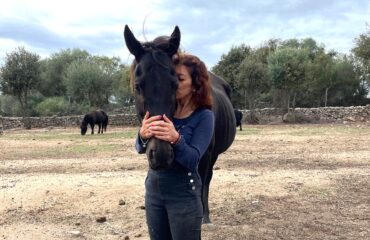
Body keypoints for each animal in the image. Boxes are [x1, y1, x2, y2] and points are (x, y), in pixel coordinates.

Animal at [123, 24, 236, 223]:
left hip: (213, 154)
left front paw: (203, 216)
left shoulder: (206, 155)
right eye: (138, 86)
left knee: (207, 179)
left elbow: (201, 183)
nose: (161, 155)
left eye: (176, 84)